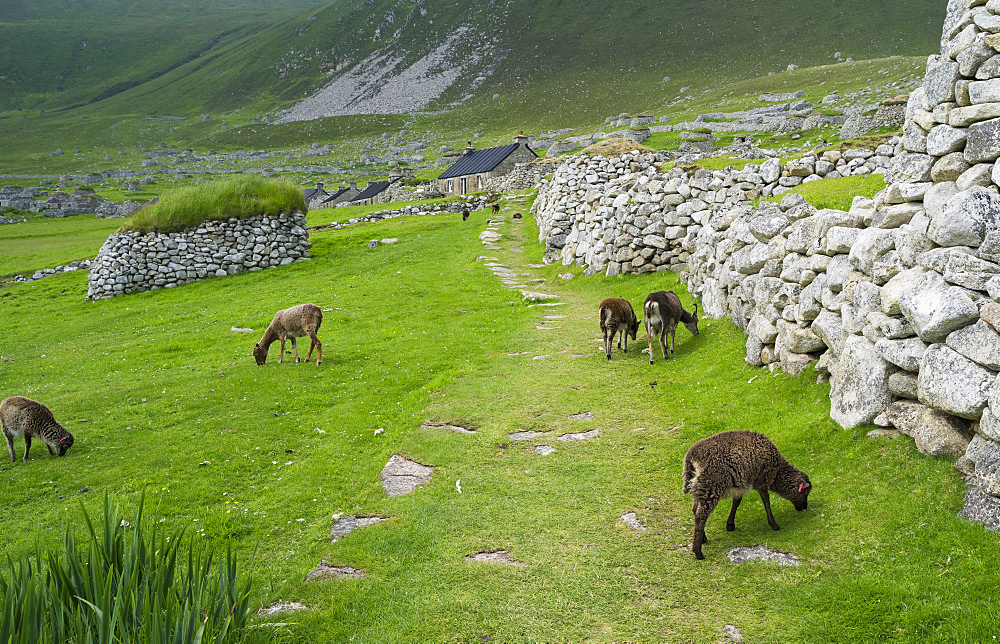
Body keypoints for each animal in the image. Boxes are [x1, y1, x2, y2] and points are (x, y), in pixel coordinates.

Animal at [680, 430, 812, 560]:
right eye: (806, 492)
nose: (804, 507)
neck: (777, 473)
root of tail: (690, 458)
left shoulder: (739, 483)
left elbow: (737, 502)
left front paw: (730, 525)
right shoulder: (761, 480)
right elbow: (766, 500)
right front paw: (774, 524)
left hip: (698, 488)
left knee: (695, 510)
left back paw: (703, 538)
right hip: (711, 487)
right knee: (701, 516)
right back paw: (698, 552)